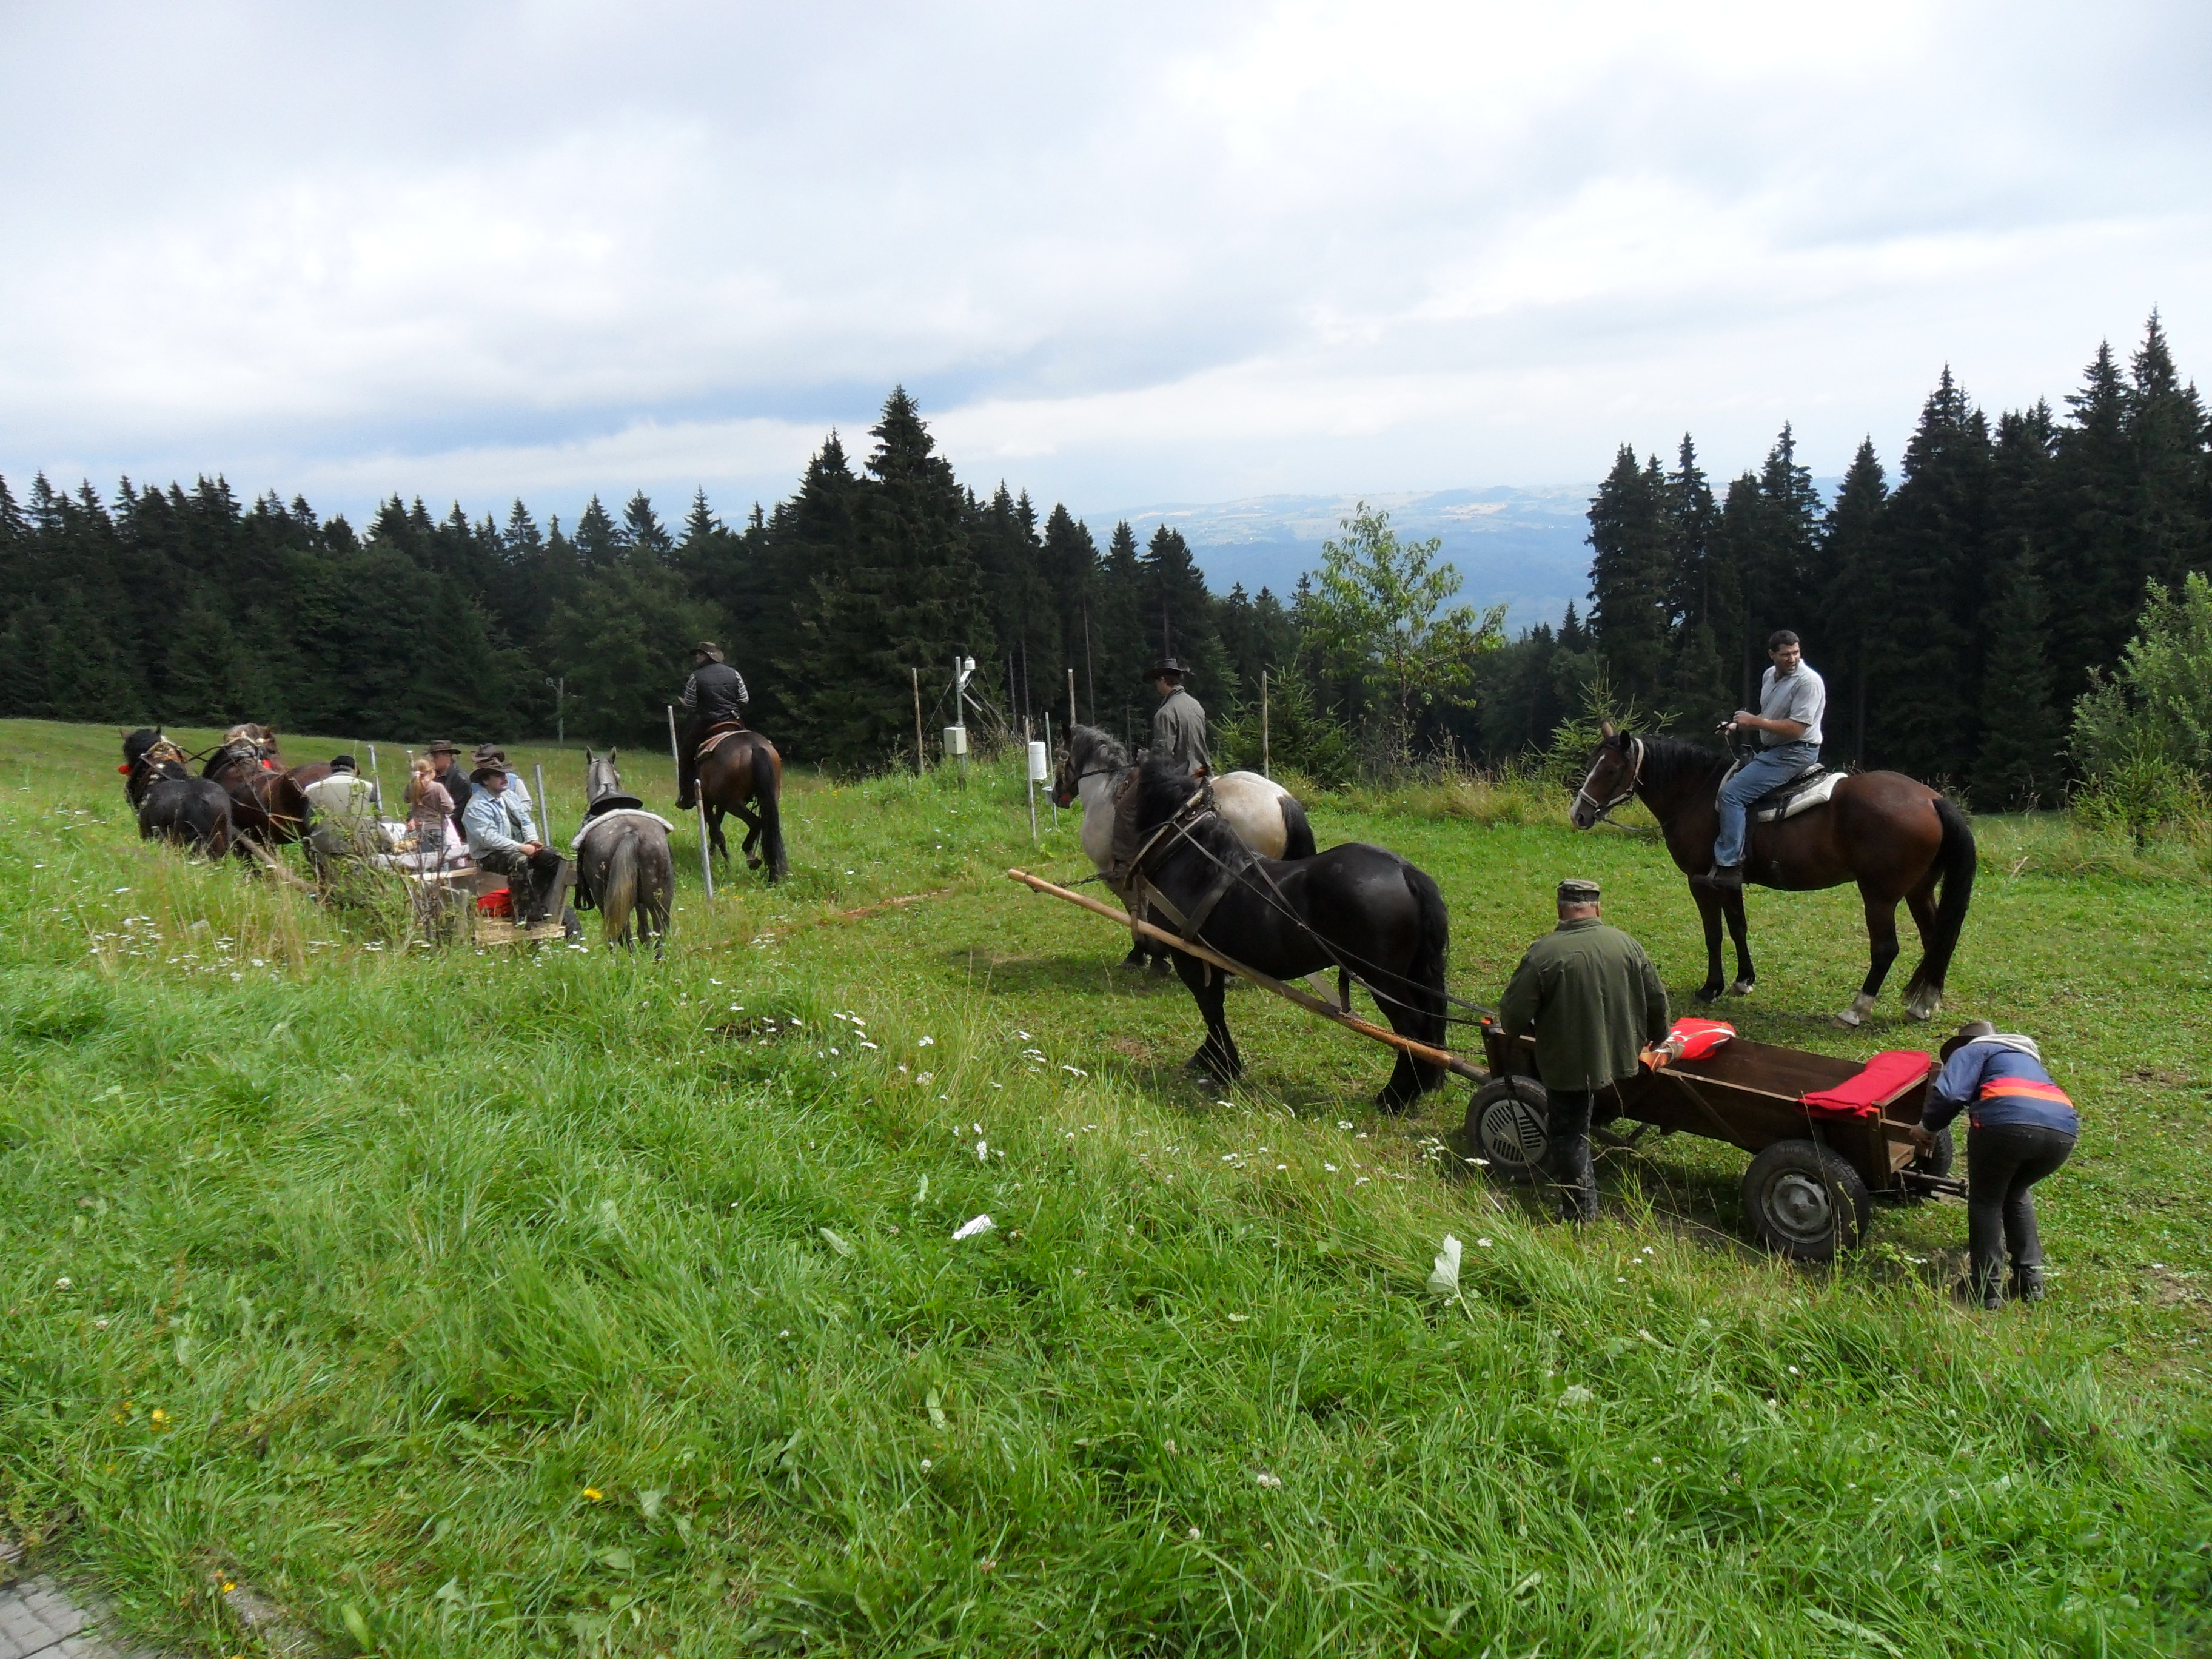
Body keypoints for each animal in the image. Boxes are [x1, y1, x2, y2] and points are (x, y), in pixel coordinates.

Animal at [574, 749, 675, 951]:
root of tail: (631, 833)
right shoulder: (639, 901)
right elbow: (644, 931)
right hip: (661, 900)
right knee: (660, 933)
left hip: (607, 898)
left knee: (620, 935)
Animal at [695, 724, 788, 881]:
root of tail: (755, 746)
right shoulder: (720, 805)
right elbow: (716, 830)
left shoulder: (708, 802)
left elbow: (716, 832)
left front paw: (724, 864)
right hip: (769, 799)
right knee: (768, 827)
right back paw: (772, 874)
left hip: (733, 804)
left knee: (756, 823)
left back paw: (750, 857)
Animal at [1052, 723, 1316, 970]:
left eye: (1058, 755)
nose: (1056, 796)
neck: (1105, 791)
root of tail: (1282, 799)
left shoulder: (1113, 873)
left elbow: (1135, 913)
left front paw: (1141, 953)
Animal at [1120, 755, 1451, 1107]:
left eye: (1125, 785)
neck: (1195, 863)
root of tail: (1404, 871)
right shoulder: (1210, 960)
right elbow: (1214, 1008)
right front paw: (1211, 1059)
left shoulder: (1189, 957)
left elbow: (1211, 1010)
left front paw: (1224, 1068)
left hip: (1382, 979)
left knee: (1412, 1030)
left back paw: (1395, 1096)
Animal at [1569, 725, 1976, 1025]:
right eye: (1590, 762)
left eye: (1609, 770)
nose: (1579, 814)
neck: (1697, 794)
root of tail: (1930, 799)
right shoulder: (1726, 880)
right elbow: (1738, 926)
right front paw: (1743, 981)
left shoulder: (1700, 881)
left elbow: (1714, 934)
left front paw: (1711, 987)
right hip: (1919, 890)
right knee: (1936, 939)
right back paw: (1924, 1004)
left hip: (1880, 895)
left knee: (1886, 948)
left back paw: (1856, 1010)